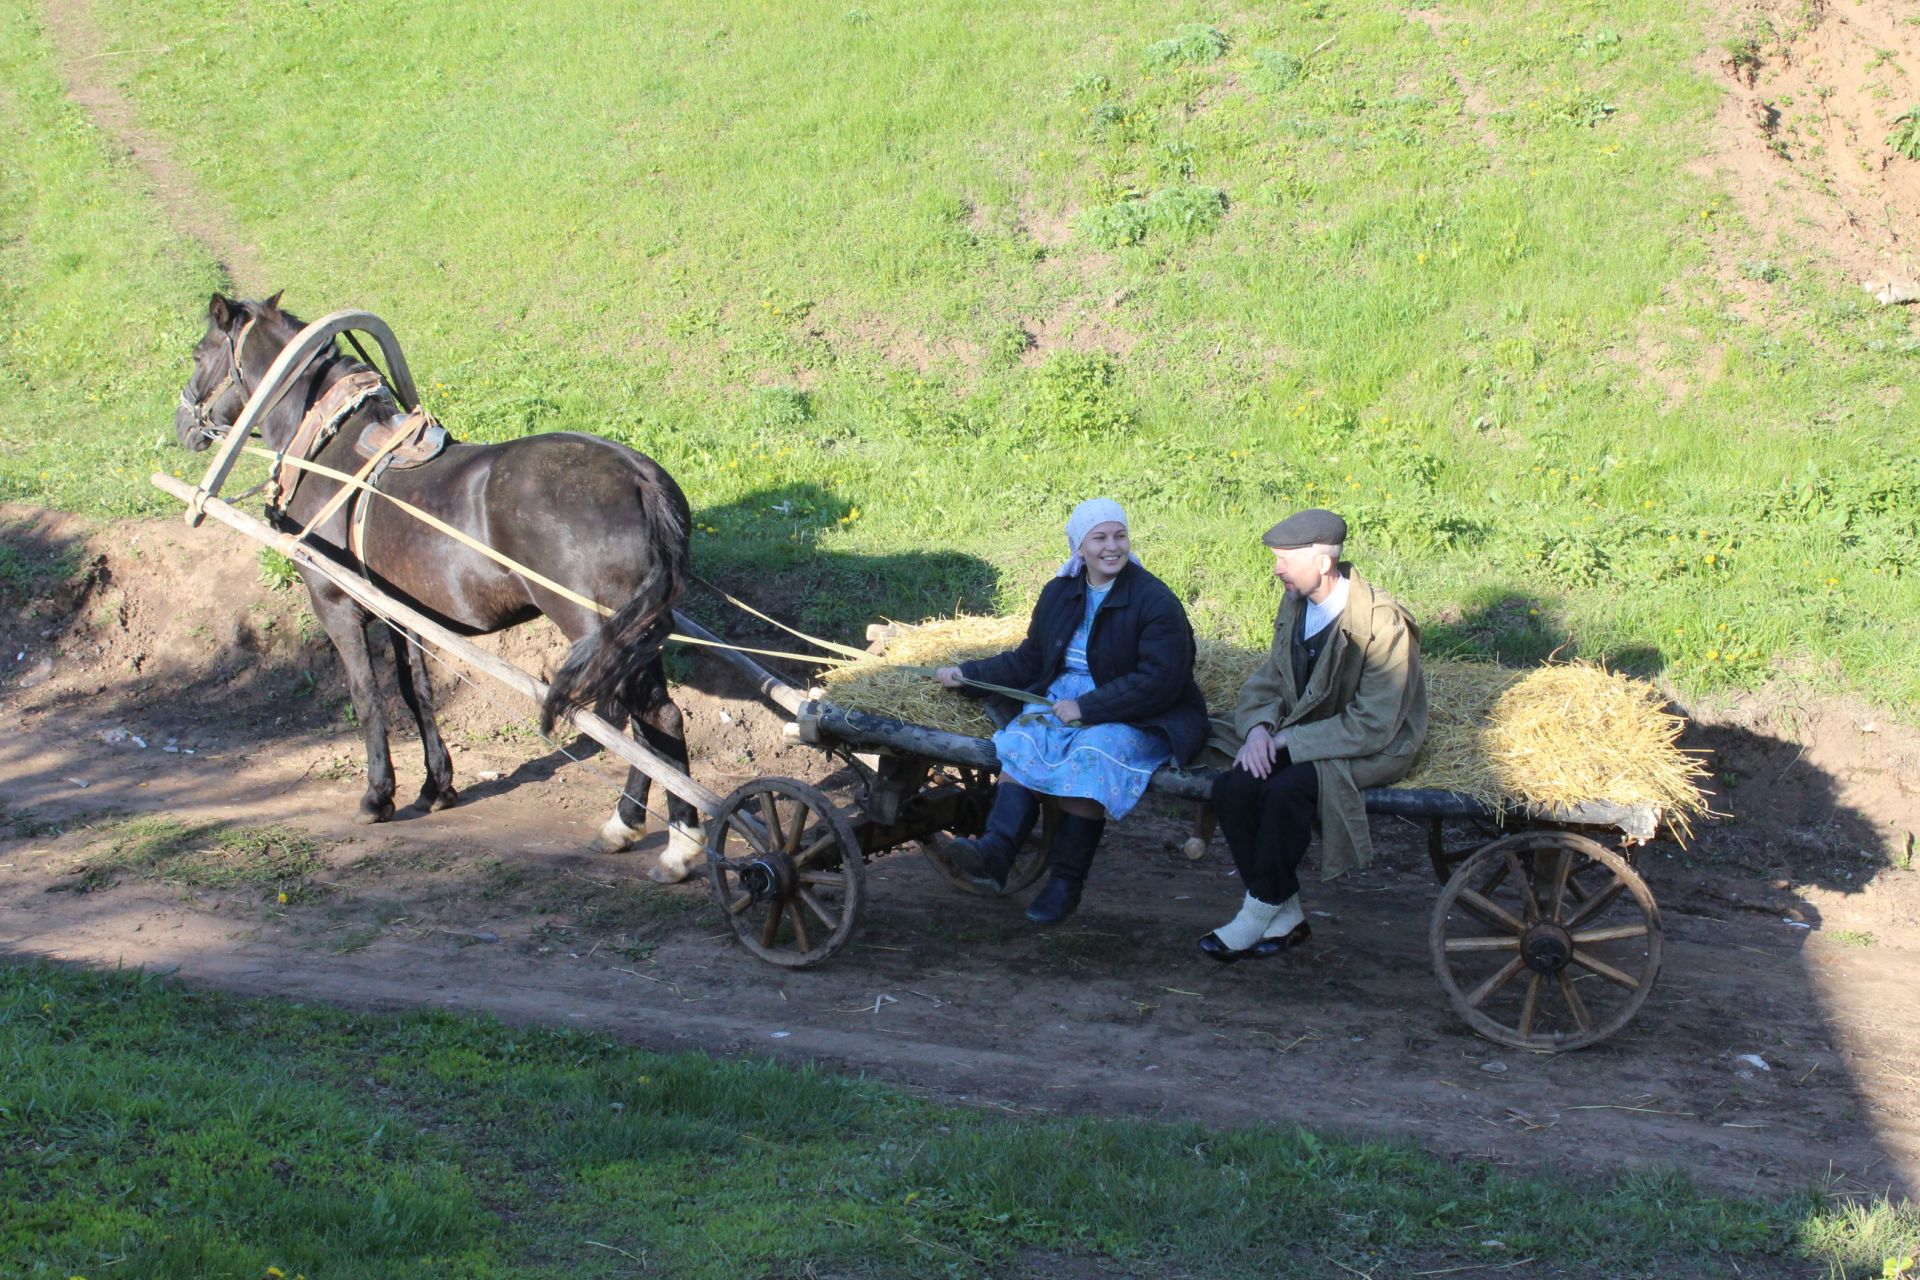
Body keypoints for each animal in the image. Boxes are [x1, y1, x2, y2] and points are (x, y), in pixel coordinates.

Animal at [174, 295, 706, 886]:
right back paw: (629, 828)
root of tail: (638, 476)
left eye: (198, 354)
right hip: (633, 638)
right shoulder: (401, 614)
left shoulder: (337, 606)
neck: (330, 452)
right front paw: (437, 786)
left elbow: (366, 696)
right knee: (653, 723)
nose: (182, 423)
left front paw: (377, 796)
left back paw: (676, 846)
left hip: (596, 629)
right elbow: (416, 694)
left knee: (649, 721)